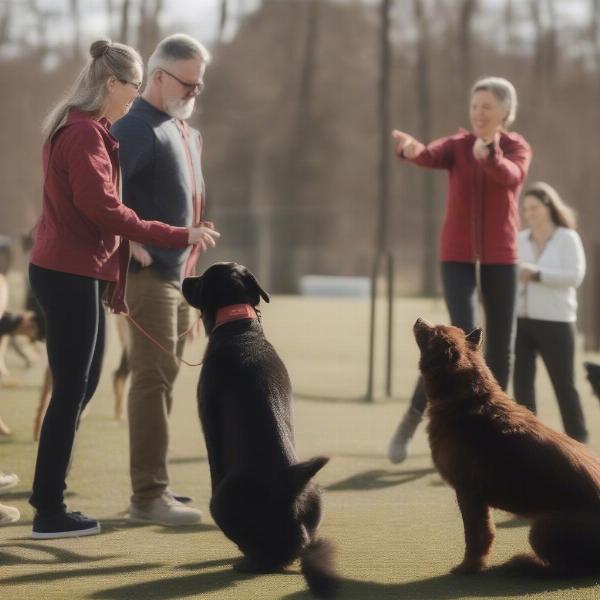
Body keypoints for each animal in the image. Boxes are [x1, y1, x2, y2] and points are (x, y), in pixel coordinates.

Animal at [180, 264, 340, 600]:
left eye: (202, 278)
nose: (186, 278)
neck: (241, 328)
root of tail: (289, 488)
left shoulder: (208, 421)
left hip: (222, 500)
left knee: (266, 552)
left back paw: (249, 562)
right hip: (316, 494)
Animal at [414, 318, 600, 576]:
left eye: (433, 332)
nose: (419, 320)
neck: (468, 398)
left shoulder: (469, 495)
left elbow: (477, 537)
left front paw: (469, 567)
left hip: (542, 527)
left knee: (570, 569)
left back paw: (527, 564)